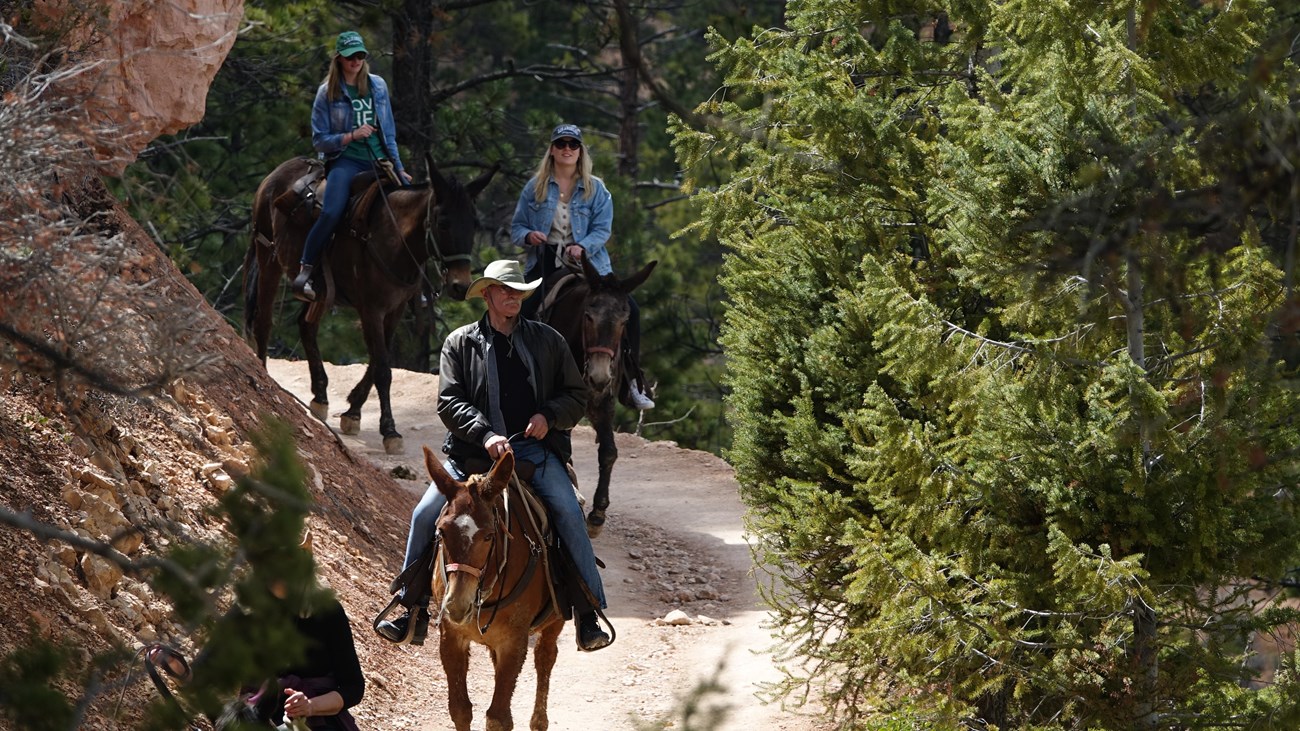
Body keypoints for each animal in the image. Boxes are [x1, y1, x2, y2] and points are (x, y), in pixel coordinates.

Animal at [241, 154, 493, 450]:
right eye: (443, 223)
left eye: (474, 224)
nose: (460, 285)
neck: (393, 238)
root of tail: (277, 173)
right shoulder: (371, 309)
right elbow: (382, 368)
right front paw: (389, 430)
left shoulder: (394, 310)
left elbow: (377, 360)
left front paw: (352, 411)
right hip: (268, 258)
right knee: (264, 321)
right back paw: (264, 372)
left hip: (321, 291)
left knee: (305, 325)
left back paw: (320, 395)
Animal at [423, 447, 566, 728]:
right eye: (442, 532)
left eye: (489, 536)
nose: (457, 605)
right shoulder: (451, 636)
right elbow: (460, 710)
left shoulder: (513, 642)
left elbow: (498, 718)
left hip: (555, 623)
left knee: (545, 657)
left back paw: (539, 721)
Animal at [540, 253, 655, 533]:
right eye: (588, 316)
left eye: (624, 322)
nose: (599, 376)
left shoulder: (601, 403)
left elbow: (609, 451)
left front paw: (598, 512)